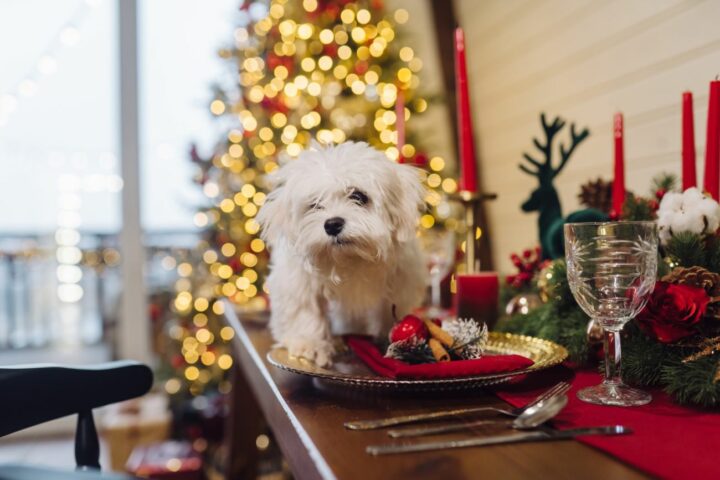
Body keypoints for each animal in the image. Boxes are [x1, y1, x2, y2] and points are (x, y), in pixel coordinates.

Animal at [258, 141, 428, 366]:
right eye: (314, 204)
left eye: (358, 196)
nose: (332, 224)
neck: (349, 258)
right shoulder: (297, 281)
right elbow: (305, 310)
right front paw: (309, 344)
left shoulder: (399, 280)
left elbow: (388, 309)